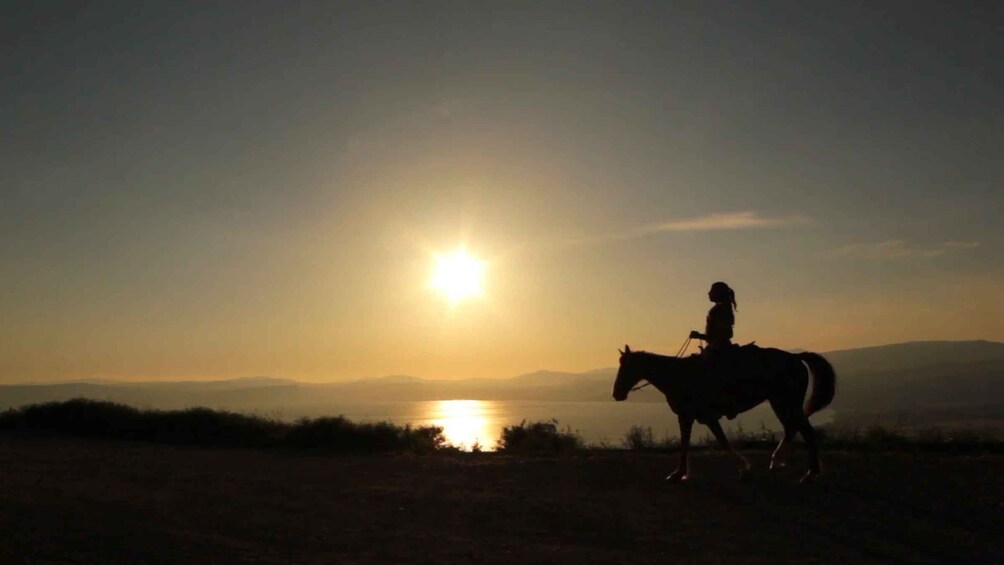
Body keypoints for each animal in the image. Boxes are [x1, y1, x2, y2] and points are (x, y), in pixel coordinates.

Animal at [614, 343, 835, 483]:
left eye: (626, 368)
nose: (616, 393)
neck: (678, 375)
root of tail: (795, 358)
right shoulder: (690, 417)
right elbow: (691, 442)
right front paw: (679, 473)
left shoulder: (699, 416)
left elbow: (720, 441)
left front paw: (744, 467)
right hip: (780, 403)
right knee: (792, 429)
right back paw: (778, 462)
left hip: (786, 403)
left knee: (806, 431)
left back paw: (809, 473)